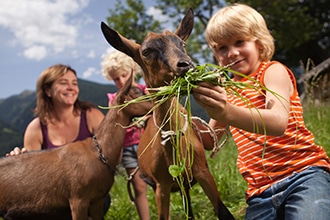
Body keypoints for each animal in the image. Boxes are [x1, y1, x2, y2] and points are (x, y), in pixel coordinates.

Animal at [100, 7, 235, 220]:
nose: (185, 64)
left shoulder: (202, 172)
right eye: (146, 51)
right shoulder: (161, 185)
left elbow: (223, 212)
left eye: (182, 43)